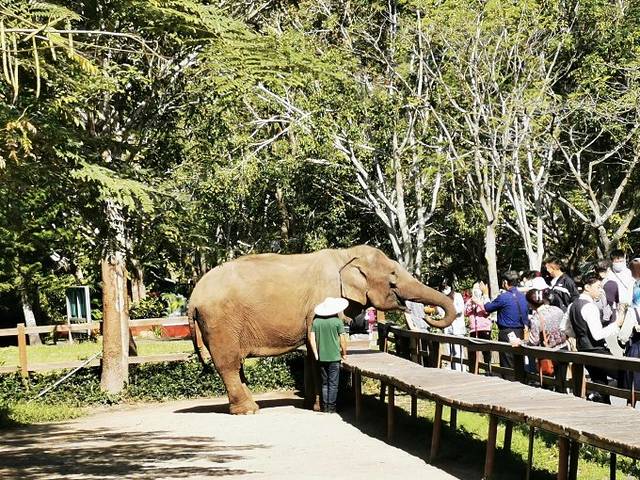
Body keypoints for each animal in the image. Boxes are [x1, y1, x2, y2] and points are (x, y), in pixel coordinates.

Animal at [187, 244, 456, 414]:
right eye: (392, 276)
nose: (428, 315)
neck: (345, 254)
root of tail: (193, 297)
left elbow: (313, 352)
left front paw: (314, 406)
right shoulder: (326, 294)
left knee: (236, 365)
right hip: (220, 321)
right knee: (229, 364)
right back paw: (249, 411)